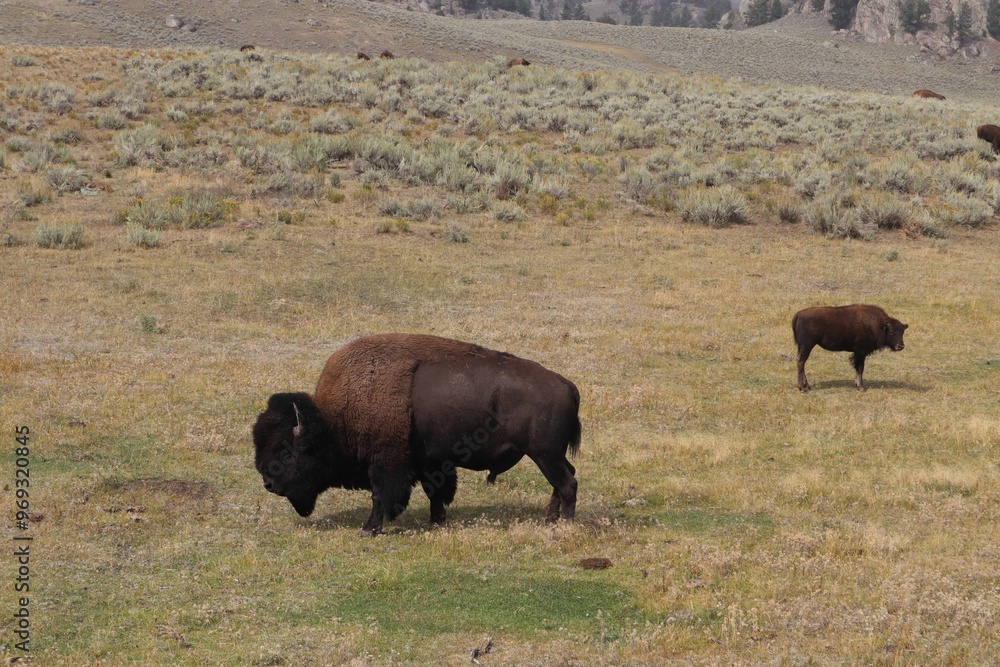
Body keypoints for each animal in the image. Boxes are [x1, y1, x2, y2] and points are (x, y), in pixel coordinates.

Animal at [252, 334, 580, 536]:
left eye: (286, 452)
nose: (268, 484)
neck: (333, 419)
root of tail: (566, 384)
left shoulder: (385, 464)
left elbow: (380, 496)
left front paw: (369, 529)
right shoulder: (429, 462)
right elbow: (436, 492)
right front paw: (436, 521)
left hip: (544, 454)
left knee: (567, 483)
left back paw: (565, 525)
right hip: (550, 455)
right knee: (564, 479)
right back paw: (549, 519)